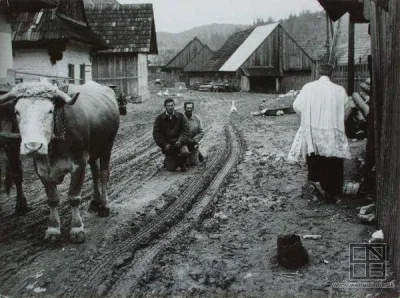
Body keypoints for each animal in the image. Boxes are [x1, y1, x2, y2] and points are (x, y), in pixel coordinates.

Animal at [0, 80, 119, 243]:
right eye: (17, 111)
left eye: (50, 111)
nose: (33, 146)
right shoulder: (41, 169)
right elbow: (52, 199)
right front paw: (53, 229)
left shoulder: (78, 164)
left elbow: (74, 197)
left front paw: (76, 228)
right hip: (93, 152)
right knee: (95, 173)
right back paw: (95, 201)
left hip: (107, 147)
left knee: (103, 175)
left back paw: (104, 206)